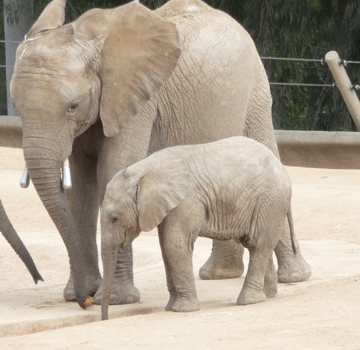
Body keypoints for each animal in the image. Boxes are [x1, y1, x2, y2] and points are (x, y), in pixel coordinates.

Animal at [100, 137, 296, 320]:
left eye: (115, 218)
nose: (105, 319)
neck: (143, 169)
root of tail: (282, 168)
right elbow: (165, 247)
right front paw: (170, 307)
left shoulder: (187, 200)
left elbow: (175, 244)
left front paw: (183, 310)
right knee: (258, 243)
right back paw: (268, 295)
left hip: (270, 200)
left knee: (258, 244)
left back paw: (249, 301)